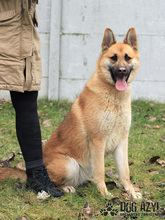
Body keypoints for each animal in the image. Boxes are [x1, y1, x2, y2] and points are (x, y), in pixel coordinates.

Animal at [0, 27, 142, 199]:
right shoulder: (97, 141)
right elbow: (100, 170)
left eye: (127, 58)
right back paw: (65, 188)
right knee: (56, 181)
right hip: (70, 164)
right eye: (113, 58)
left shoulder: (121, 141)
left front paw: (131, 192)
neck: (114, 97)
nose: (122, 71)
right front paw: (103, 193)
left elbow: (124, 171)